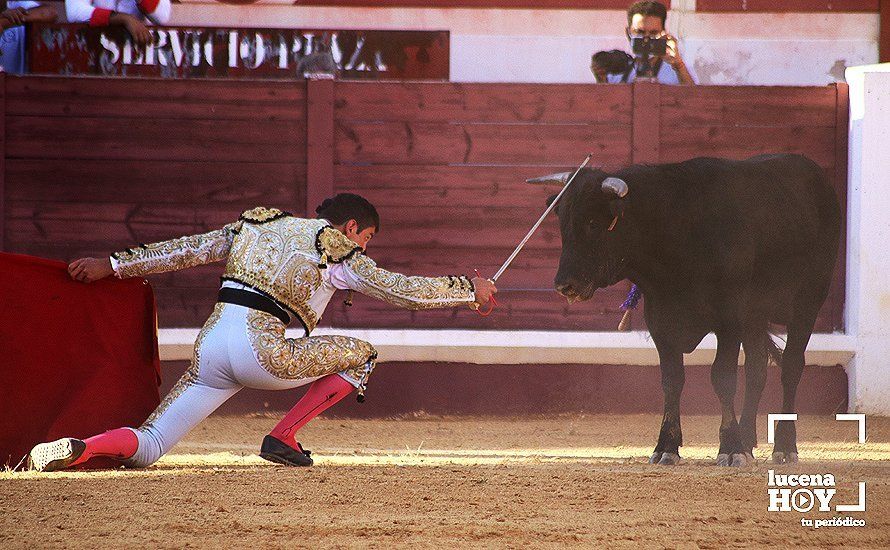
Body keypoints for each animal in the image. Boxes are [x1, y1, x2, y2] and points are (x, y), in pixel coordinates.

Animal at [536, 155, 840, 470]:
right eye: (563, 224)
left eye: (593, 223)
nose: (564, 284)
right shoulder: (660, 323)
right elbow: (672, 381)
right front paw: (667, 447)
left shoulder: (729, 320)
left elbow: (723, 378)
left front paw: (730, 449)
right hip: (754, 316)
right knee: (757, 368)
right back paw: (748, 441)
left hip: (807, 303)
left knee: (791, 367)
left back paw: (784, 446)